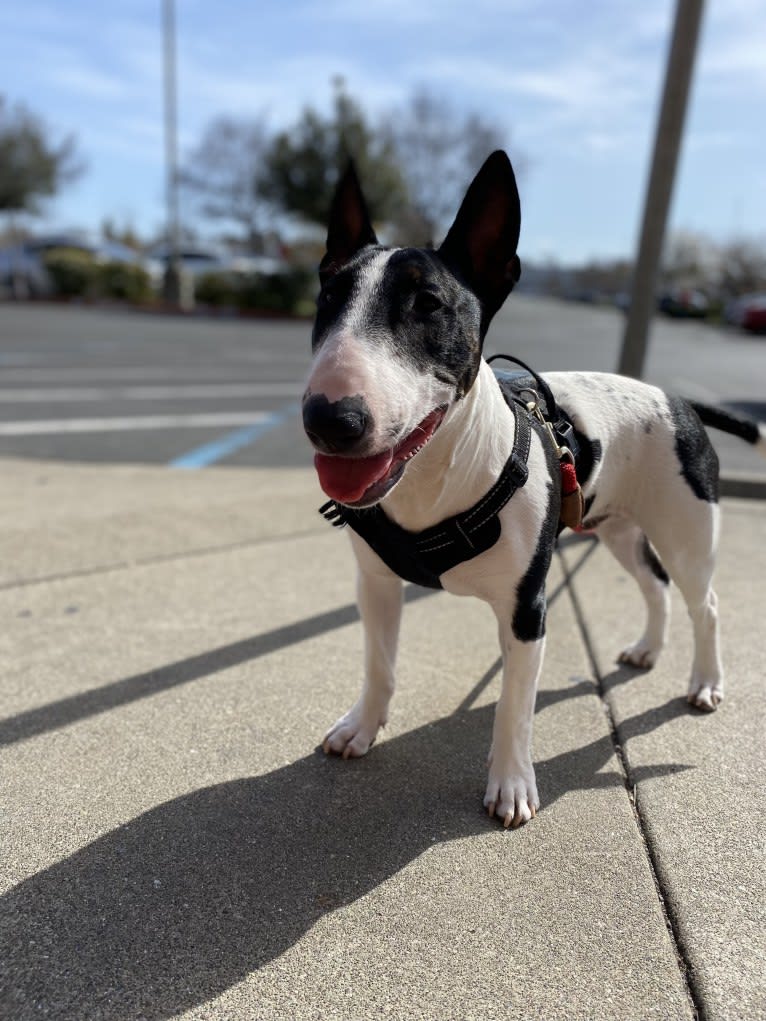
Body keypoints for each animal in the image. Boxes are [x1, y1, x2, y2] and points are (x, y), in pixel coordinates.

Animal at [302, 149, 766, 829]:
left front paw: (512, 784)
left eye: (428, 304)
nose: (330, 419)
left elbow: (513, 707)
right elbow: (379, 664)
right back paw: (647, 650)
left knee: (702, 604)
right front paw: (361, 727)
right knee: (653, 585)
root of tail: (678, 398)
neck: (435, 483)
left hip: (688, 535)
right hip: (617, 528)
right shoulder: (377, 585)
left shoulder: (528, 612)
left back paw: (705, 681)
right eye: (329, 298)